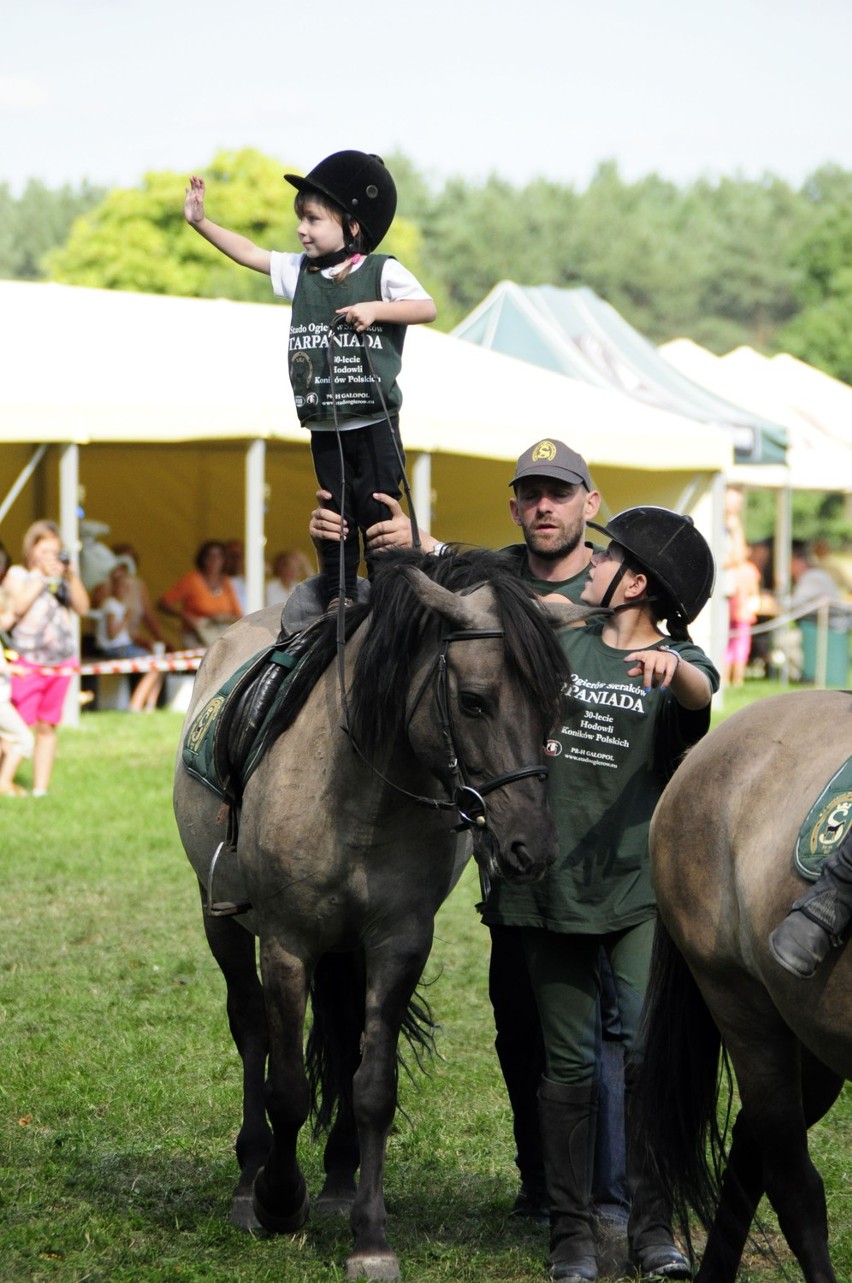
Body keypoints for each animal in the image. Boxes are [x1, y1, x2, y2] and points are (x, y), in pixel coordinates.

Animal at [173, 551, 585, 1283]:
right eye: (474, 700)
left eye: (556, 705)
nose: (530, 848)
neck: (355, 791)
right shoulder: (287, 944)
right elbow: (286, 1086)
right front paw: (280, 1200)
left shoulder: (397, 944)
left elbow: (373, 1085)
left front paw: (369, 1236)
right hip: (220, 915)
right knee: (250, 1029)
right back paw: (250, 1179)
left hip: (347, 950)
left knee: (342, 1039)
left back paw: (338, 1180)